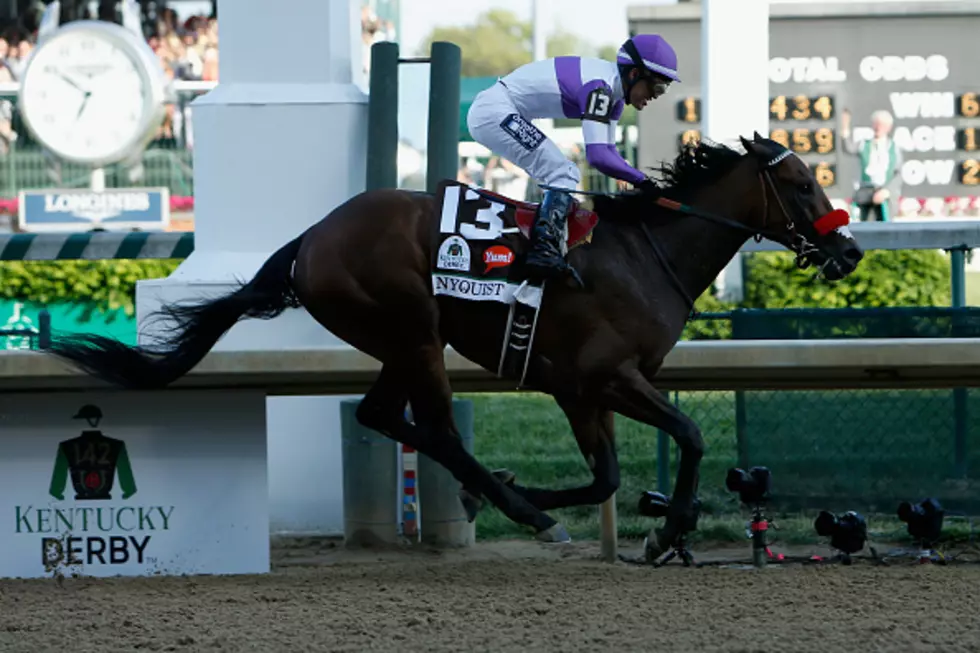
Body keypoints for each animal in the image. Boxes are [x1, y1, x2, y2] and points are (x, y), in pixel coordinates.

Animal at [42, 134, 860, 560]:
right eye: (800, 182)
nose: (848, 251)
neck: (644, 254)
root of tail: (312, 237)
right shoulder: (599, 378)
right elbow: (685, 435)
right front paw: (666, 529)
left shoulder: (584, 390)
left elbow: (606, 477)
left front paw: (628, 519)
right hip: (414, 331)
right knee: (434, 427)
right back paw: (518, 509)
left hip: (397, 341)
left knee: (382, 415)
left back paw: (502, 497)